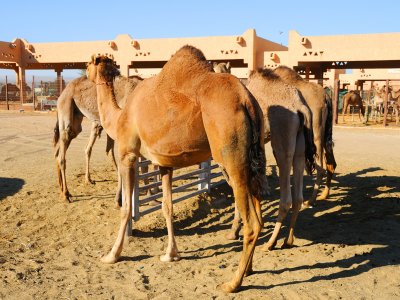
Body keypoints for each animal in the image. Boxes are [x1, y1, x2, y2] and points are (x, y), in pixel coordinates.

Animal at [54, 75, 142, 205]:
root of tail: (63, 92)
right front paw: (118, 199)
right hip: (66, 107)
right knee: (62, 155)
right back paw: (66, 194)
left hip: (76, 120)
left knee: (60, 150)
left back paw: (64, 190)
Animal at [87, 45, 268, 292]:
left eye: (88, 63)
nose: (85, 72)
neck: (119, 118)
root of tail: (245, 99)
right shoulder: (165, 164)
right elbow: (167, 206)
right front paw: (171, 254)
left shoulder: (127, 155)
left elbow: (125, 209)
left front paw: (111, 255)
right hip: (254, 153)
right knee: (258, 205)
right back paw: (249, 270)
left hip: (230, 152)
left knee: (252, 222)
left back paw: (233, 283)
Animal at [222, 69, 316, 250]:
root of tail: (300, 106)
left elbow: (237, 185)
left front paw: (234, 231)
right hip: (300, 146)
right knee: (298, 197)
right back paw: (288, 240)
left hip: (282, 140)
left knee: (286, 198)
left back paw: (270, 243)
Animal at [274, 66, 336, 207]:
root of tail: (326, 97)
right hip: (326, 133)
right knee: (331, 162)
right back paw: (324, 195)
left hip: (316, 132)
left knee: (320, 167)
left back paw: (310, 201)